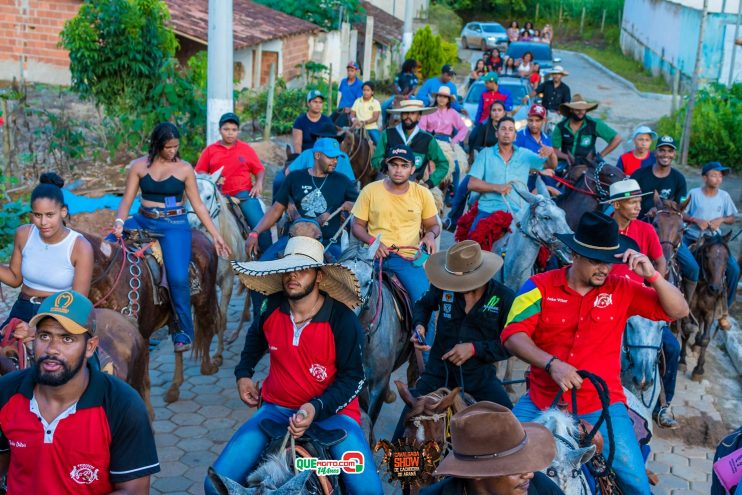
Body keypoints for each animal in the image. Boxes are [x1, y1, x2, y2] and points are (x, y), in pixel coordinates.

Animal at [83, 231, 221, 404]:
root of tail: (202, 235)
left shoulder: (142, 338)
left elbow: (144, 382)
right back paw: (174, 388)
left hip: (204, 301)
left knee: (208, 327)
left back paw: (208, 366)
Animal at [684, 234, 732, 382]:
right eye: (706, 256)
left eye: (726, 258)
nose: (715, 289)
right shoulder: (688, 310)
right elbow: (686, 332)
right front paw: (682, 362)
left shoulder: (710, 313)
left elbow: (705, 339)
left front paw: (699, 370)